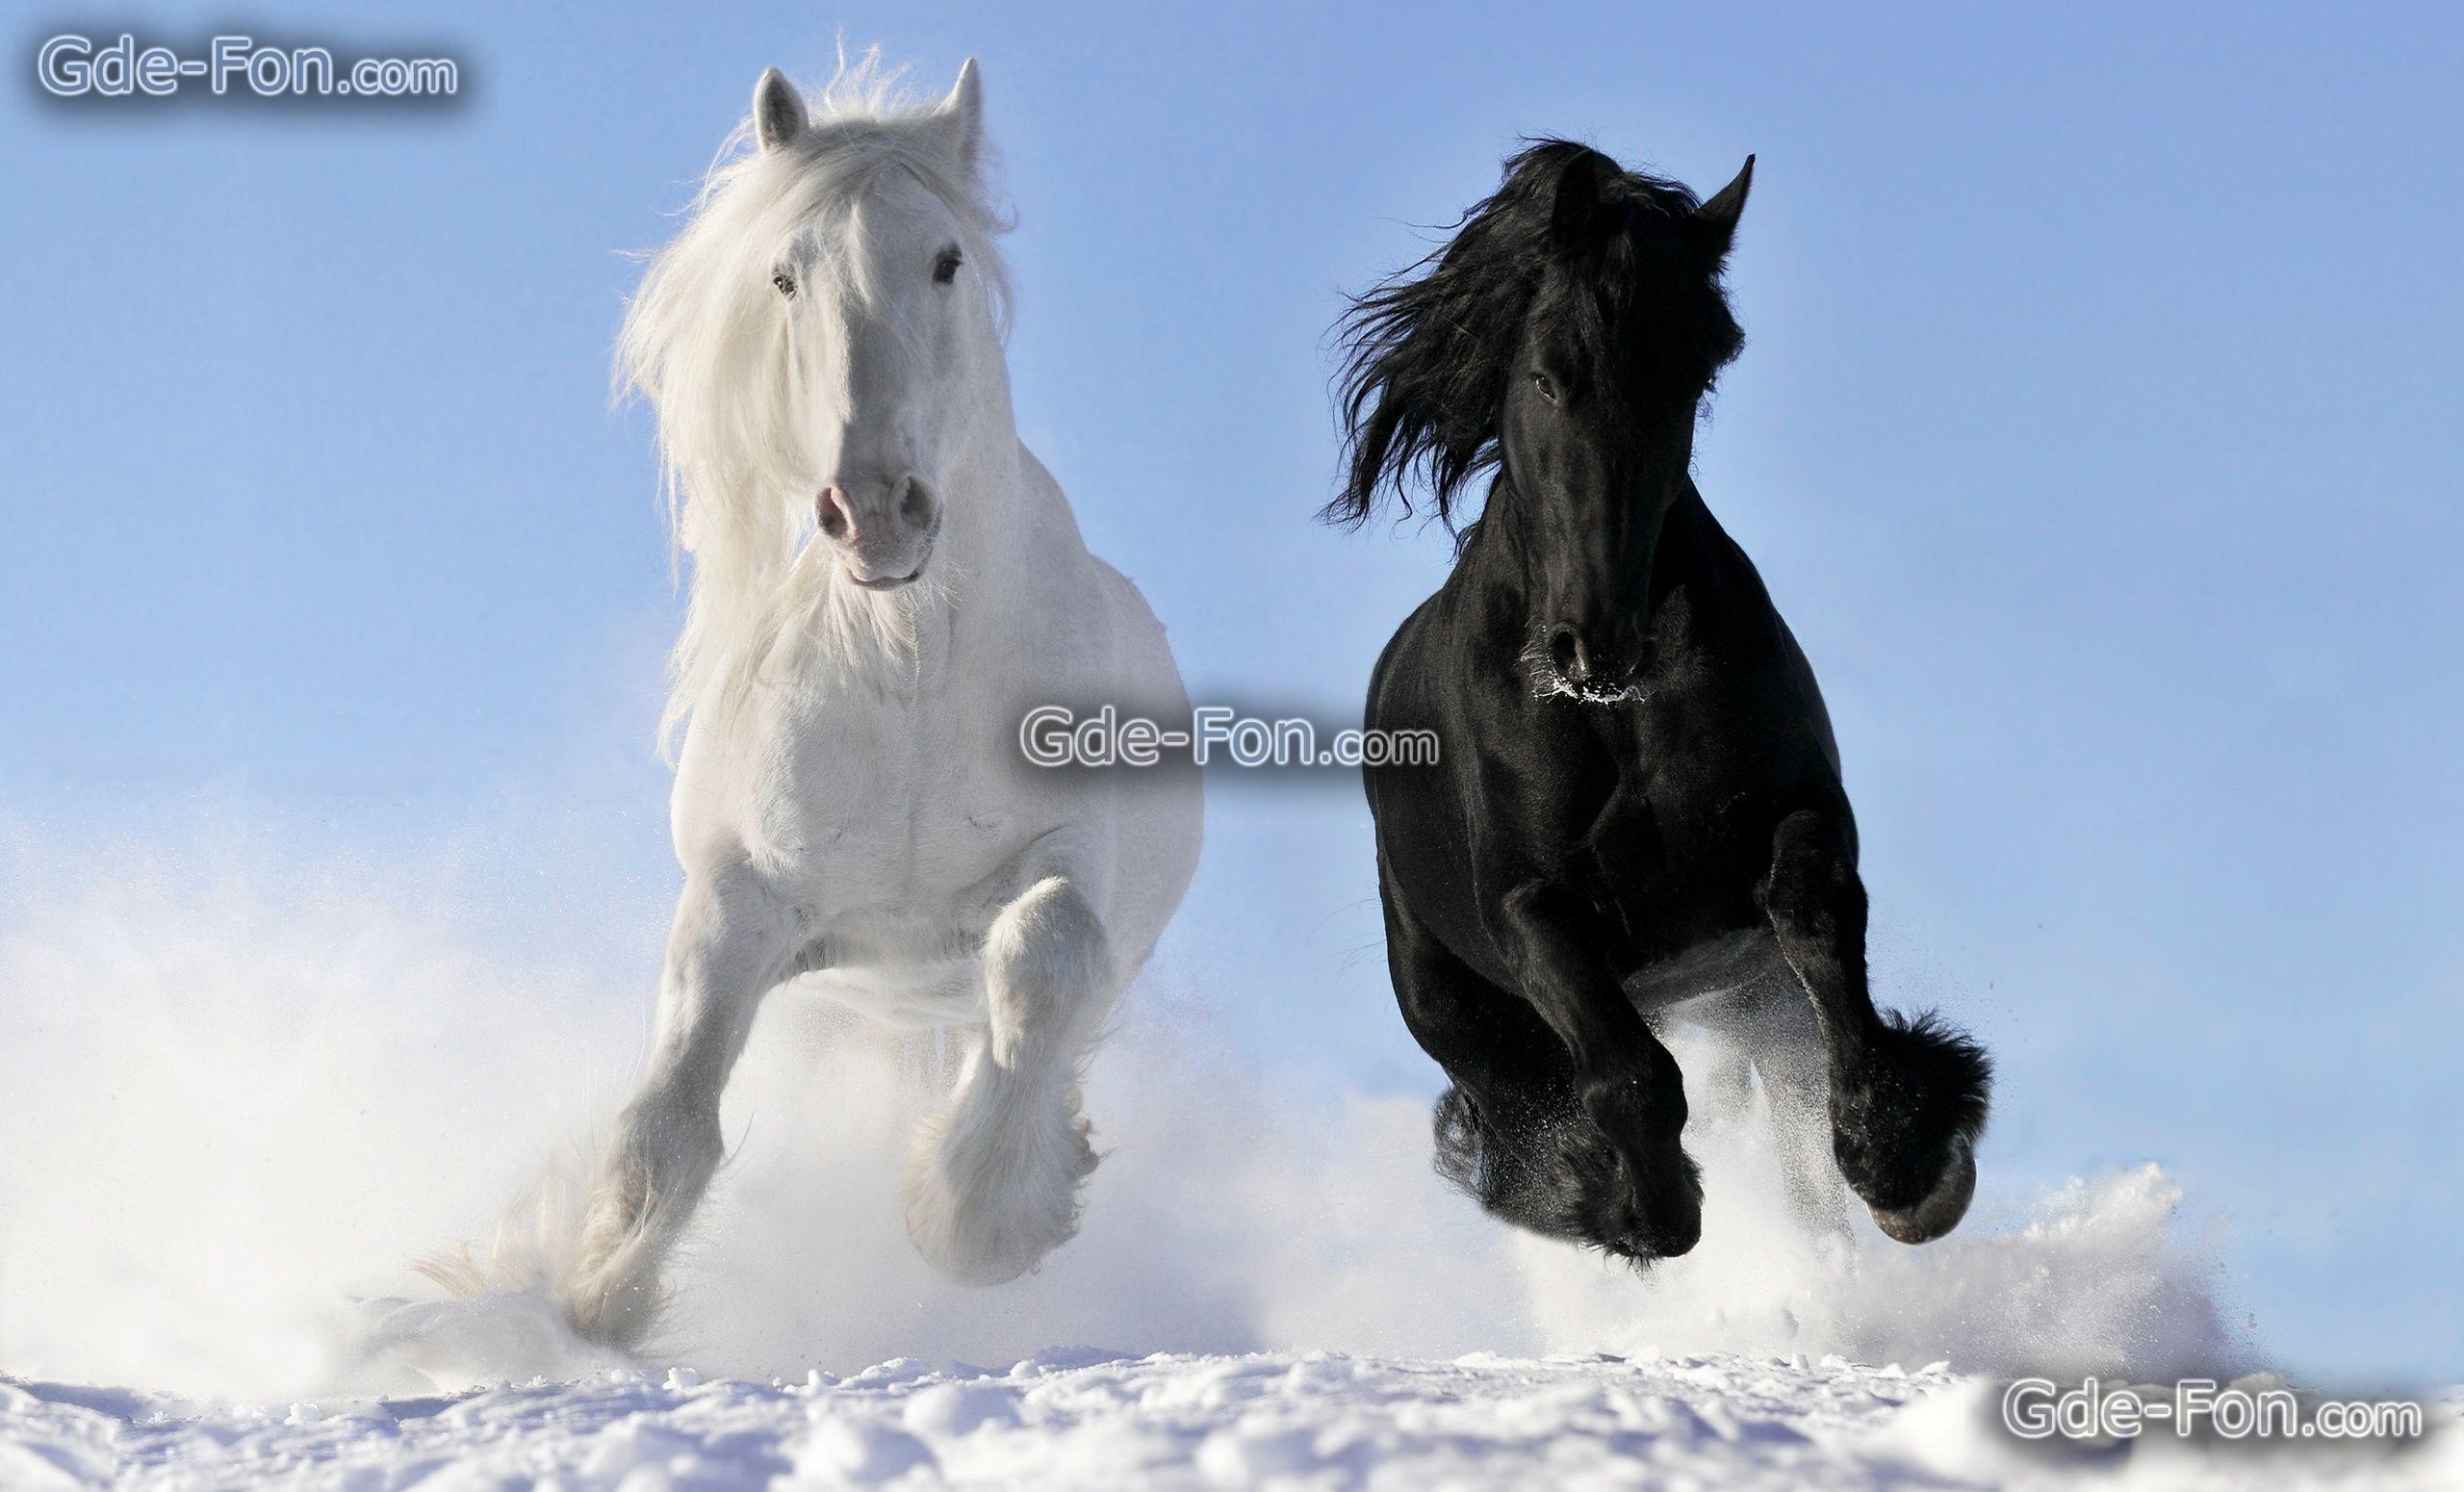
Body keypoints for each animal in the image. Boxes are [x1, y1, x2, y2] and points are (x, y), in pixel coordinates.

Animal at [559, 58, 1202, 1349]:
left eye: (946, 258)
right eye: (783, 273)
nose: (873, 510)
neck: (907, 667)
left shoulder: (1070, 860)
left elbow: (1047, 950)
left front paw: (974, 1218)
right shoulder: (742, 898)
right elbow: (666, 1121)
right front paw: (591, 1301)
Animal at [1329, 141, 1991, 1264]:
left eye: (1689, 378)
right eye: (1547, 375)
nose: (1594, 642)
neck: (1616, 714)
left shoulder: (1797, 818)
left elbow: (1817, 922)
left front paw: (1905, 1159)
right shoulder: (1531, 908)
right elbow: (1628, 1076)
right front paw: (1633, 1203)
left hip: (1748, 996)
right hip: (1454, 1004)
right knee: (1517, 1111)